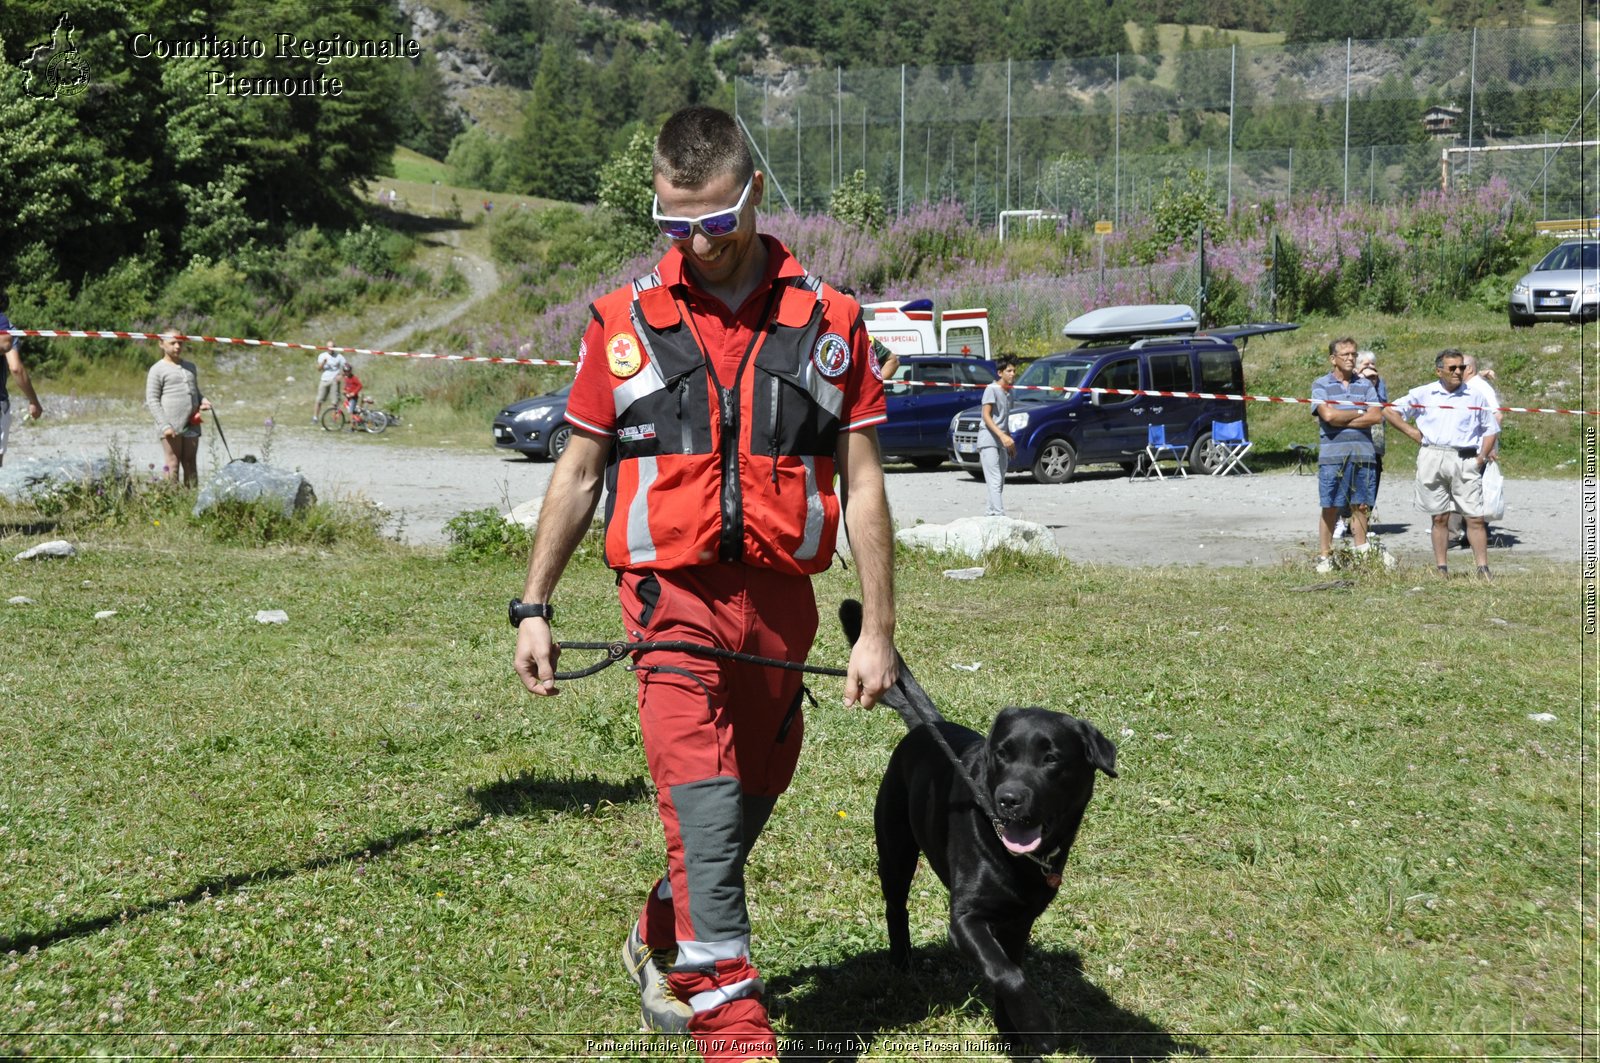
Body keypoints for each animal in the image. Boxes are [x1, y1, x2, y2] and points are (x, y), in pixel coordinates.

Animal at [844, 598, 1120, 1056]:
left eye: (1052, 759)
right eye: (1002, 754)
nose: (1009, 798)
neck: (1021, 859)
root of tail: (929, 725)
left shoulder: (1019, 922)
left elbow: (1008, 973)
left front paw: (1013, 1029)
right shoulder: (967, 918)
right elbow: (1007, 973)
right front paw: (1039, 1026)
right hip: (895, 847)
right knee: (896, 905)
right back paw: (901, 961)